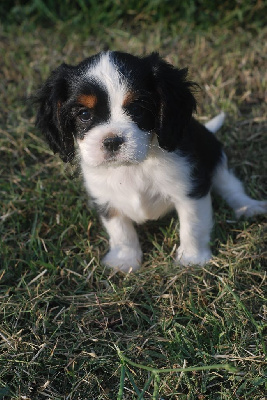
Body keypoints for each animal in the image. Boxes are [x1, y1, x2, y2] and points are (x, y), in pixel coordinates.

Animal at [35, 50, 267, 272]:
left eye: (138, 109)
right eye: (84, 114)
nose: (112, 141)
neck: (132, 167)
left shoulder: (190, 188)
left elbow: (193, 225)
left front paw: (192, 260)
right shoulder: (104, 197)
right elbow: (120, 231)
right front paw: (124, 261)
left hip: (215, 156)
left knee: (231, 186)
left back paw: (248, 207)